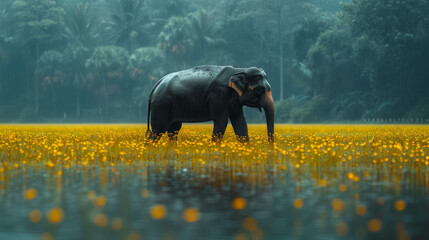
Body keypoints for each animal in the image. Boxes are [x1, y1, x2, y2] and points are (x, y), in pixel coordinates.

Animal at [146, 64, 274, 142]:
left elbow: (240, 123)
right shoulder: (219, 96)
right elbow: (221, 121)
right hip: (161, 105)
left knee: (174, 129)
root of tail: (157, 83)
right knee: (158, 130)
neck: (239, 70)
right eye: (260, 90)